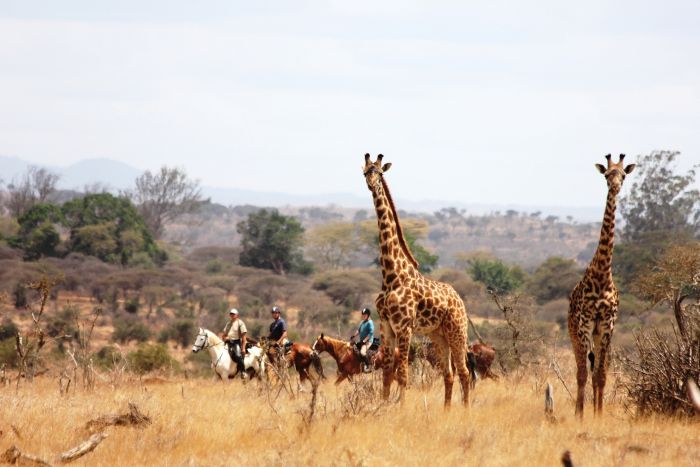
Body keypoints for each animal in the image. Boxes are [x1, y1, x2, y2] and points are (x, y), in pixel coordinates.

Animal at [360, 154, 470, 406]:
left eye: (379, 172)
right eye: (365, 172)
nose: (371, 184)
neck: (391, 276)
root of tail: (459, 300)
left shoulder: (404, 326)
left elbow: (402, 373)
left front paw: (401, 408)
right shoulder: (386, 325)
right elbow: (387, 373)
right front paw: (383, 406)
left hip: (458, 331)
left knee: (465, 372)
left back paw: (466, 410)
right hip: (438, 335)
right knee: (449, 373)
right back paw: (446, 410)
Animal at [568, 154, 636, 416]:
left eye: (623, 175)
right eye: (607, 175)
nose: (615, 187)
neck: (602, 276)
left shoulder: (607, 328)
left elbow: (602, 376)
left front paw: (598, 414)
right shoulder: (585, 326)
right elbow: (584, 375)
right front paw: (580, 415)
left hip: (597, 335)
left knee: (595, 369)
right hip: (575, 334)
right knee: (580, 369)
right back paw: (578, 411)